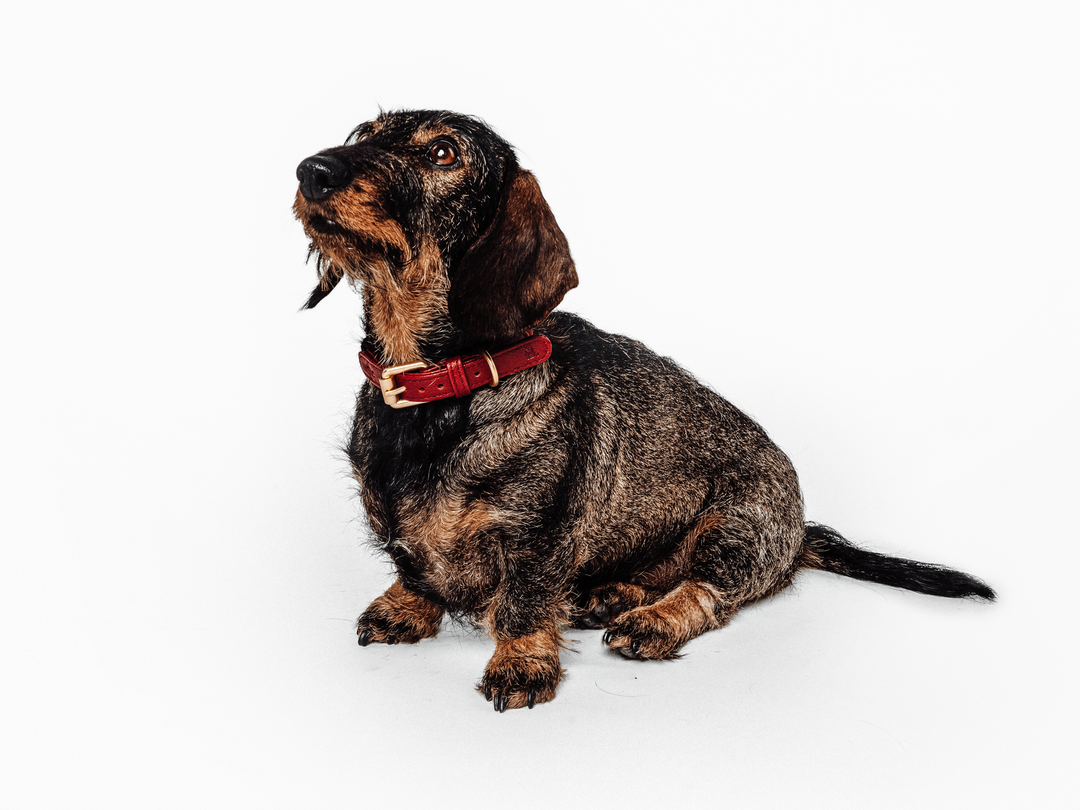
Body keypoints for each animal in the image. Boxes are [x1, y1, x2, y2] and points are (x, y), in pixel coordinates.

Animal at [293, 111, 993, 712]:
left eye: (443, 153)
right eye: (365, 132)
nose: (311, 170)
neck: (435, 391)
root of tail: (799, 534)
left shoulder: (535, 536)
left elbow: (523, 601)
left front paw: (520, 663)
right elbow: (413, 568)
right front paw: (405, 607)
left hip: (736, 527)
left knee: (709, 591)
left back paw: (651, 621)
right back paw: (610, 595)